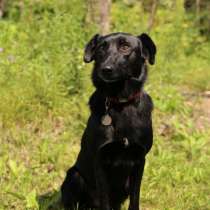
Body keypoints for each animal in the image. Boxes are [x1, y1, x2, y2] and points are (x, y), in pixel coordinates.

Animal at [60, 32, 156, 210]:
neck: (121, 103)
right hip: (74, 176)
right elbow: (104, 200)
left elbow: (135, 199)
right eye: (101, 48)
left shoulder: (139, 160)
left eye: (125, 47)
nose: (105, 69)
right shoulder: (100, 161)